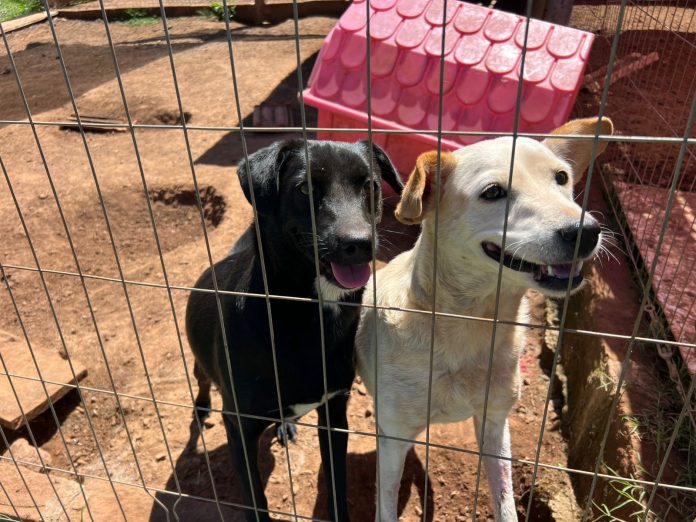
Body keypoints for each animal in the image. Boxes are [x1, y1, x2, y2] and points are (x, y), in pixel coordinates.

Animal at [185, 139, 403, 522]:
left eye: (371, 186)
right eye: (304, 188)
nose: (359, 243)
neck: (308, 315)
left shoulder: (334, 413)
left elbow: (337, 483)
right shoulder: (238, 426)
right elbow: (256, 499)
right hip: (200, 363)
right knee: (202, 381)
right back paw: (201, 408)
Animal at [355, 117, 614, 521]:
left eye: (561, 178)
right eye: (493, 192)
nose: (585, 231)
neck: (470, 322)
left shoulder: (495, 424)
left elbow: (505, 501)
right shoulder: (394, 437)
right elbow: (385, 502)